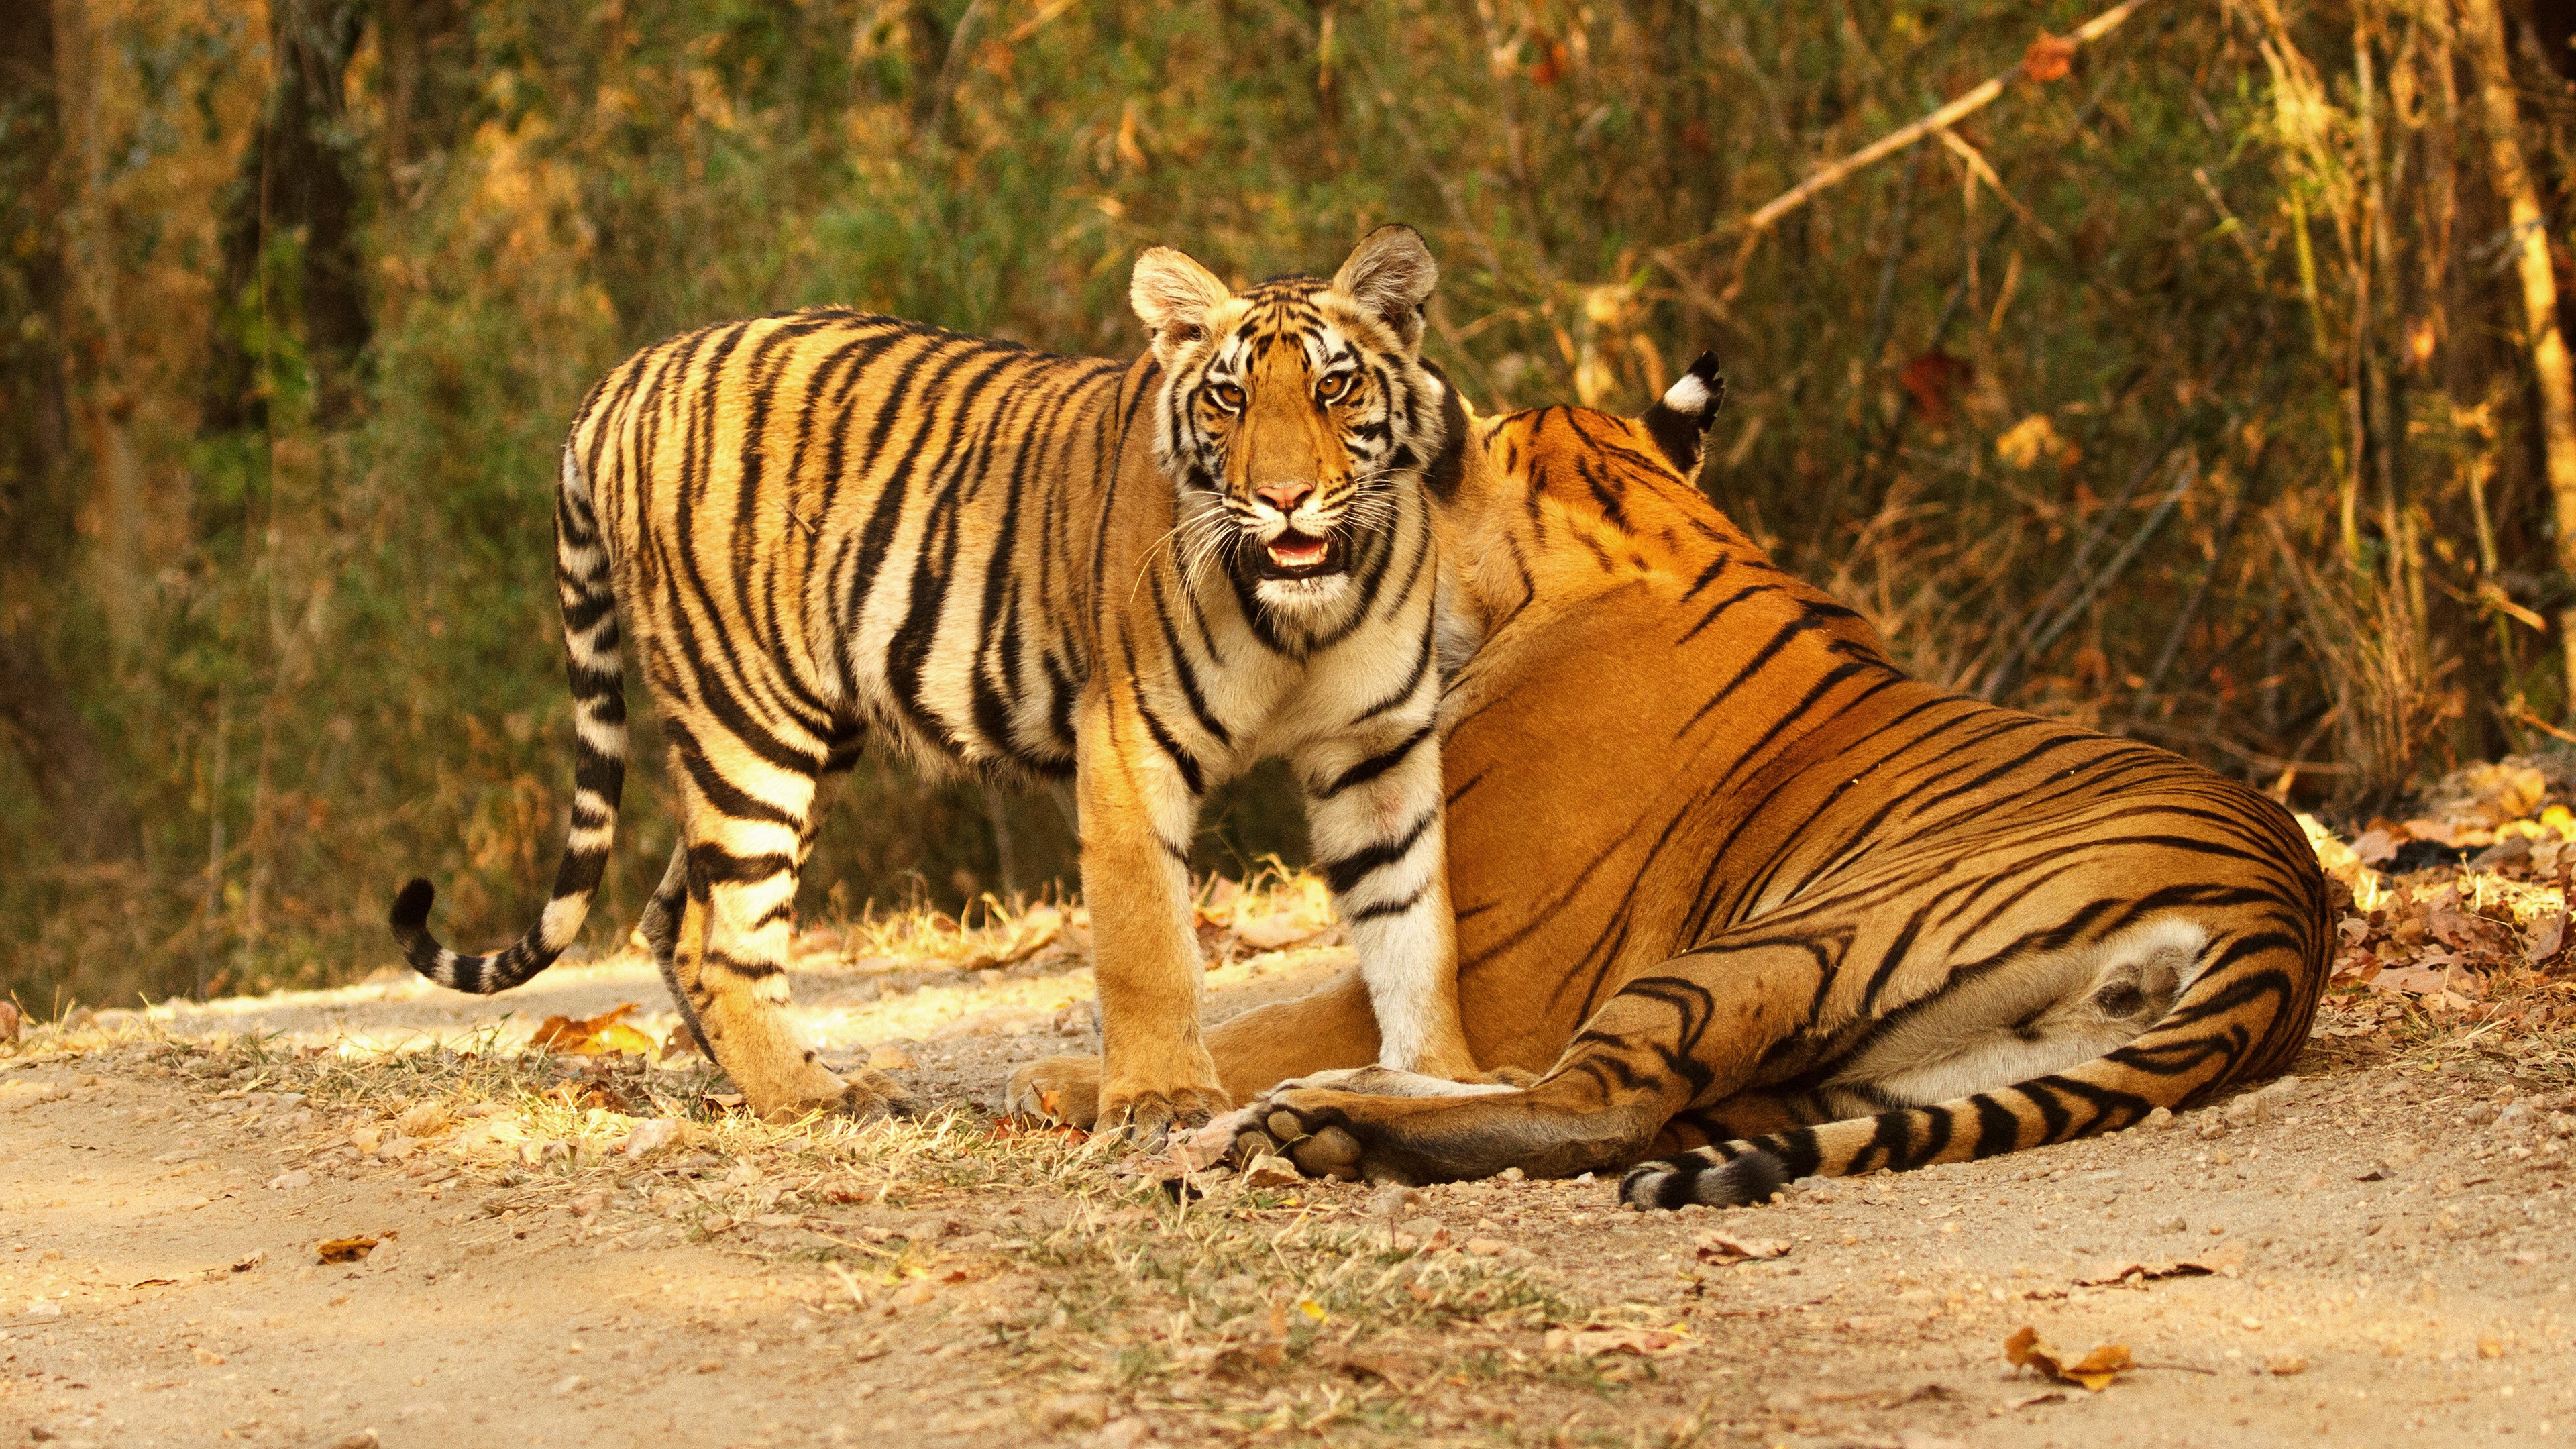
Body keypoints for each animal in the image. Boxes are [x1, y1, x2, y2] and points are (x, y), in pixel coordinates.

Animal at [1014, 356, 2349, 1201]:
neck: (1637, 530)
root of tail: (2285, 924)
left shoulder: (1492, 957)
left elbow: (1267, 1016)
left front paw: (1077, 1082)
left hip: (1770, 945)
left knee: (1594, 1105)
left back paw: (1321, 1121)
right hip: (1871, 1065)